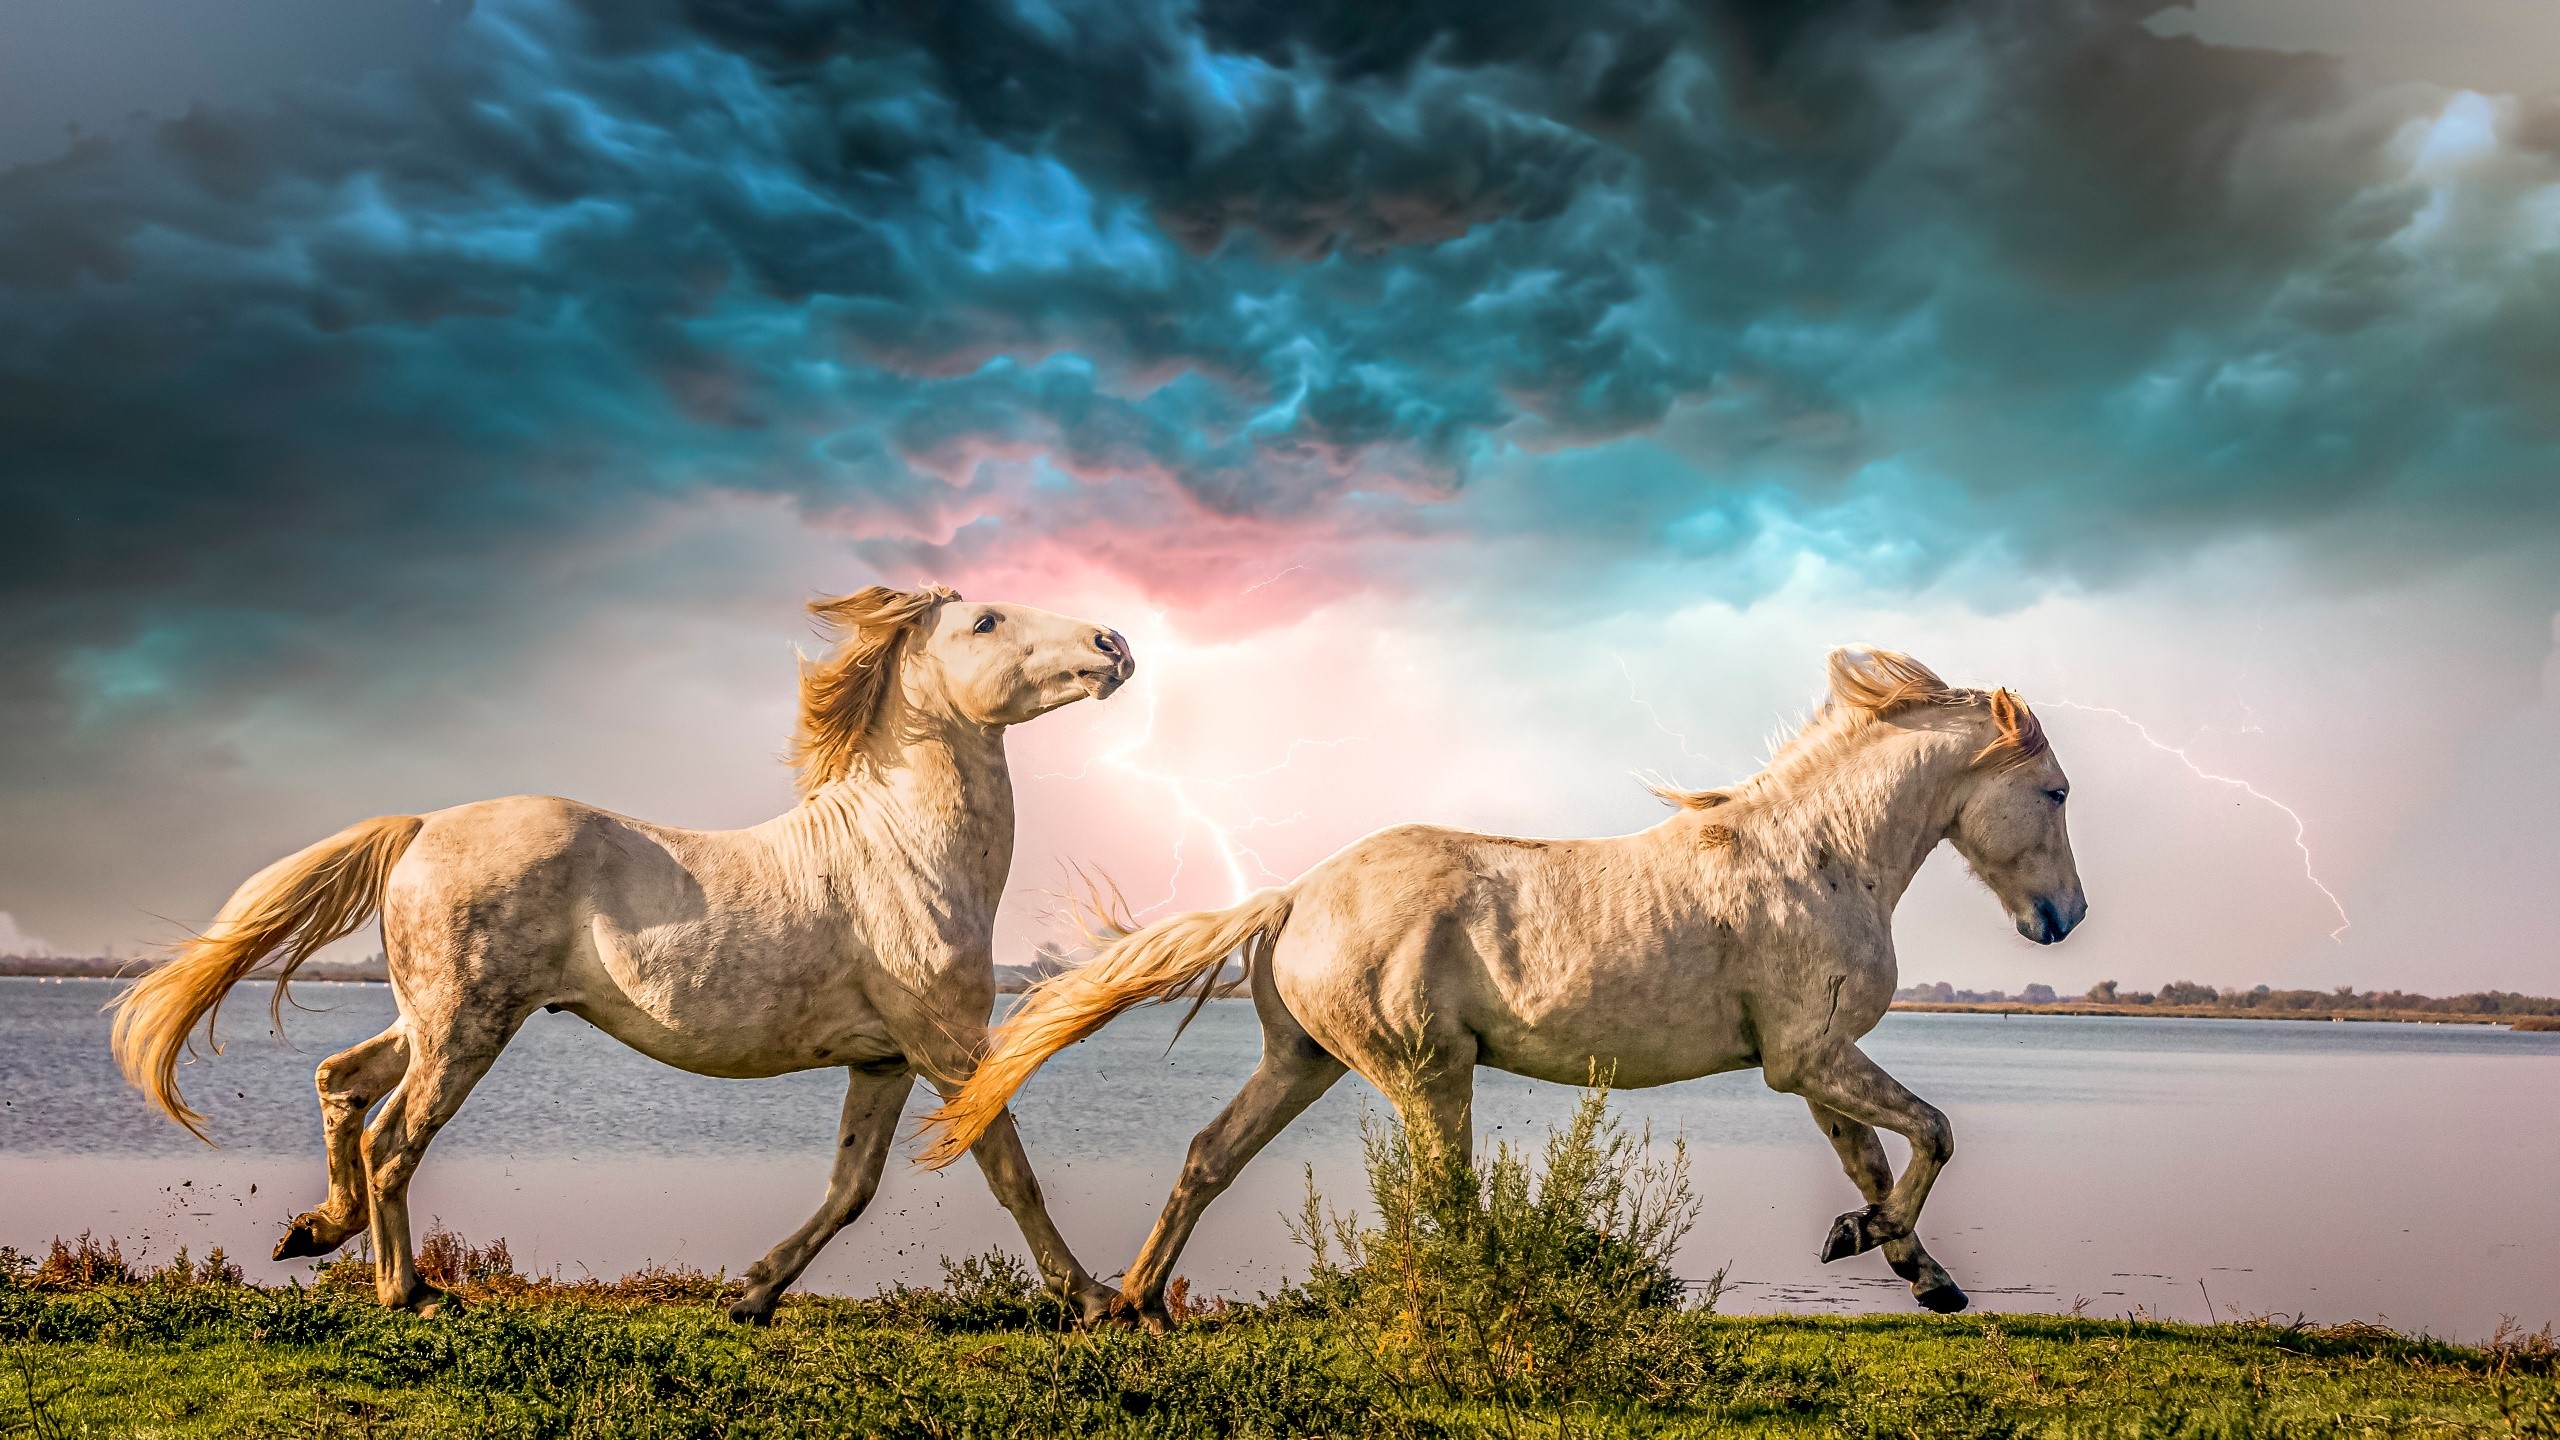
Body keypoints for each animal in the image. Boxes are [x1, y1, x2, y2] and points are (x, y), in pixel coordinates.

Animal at [113, 585, 1135, 1322]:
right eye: (987, 620)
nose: (1114, 646)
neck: (902, 851)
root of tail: (421, 828)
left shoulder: (885, 1059)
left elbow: (850, 1188)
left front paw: (751, 1294)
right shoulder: (948, 1047)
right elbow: (1010, 1171)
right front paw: (1099, 1302)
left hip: (428, 1018)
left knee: (341, 1082)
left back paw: (316, 1231)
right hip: (466, 1028)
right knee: (392, 1138)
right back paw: (410, 1292)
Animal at [919, 646, 2087, 1327]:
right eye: (2056, 791)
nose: (2063, 919)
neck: (1820, 857)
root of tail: (1296, 895)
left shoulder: (1808, 1065)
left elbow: (1873, 1161)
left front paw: (1912, 1268)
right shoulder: (1812, 1057)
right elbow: (1933, 1135)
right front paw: (1880, 1249)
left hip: (1302, 1063)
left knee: (1209, 1156)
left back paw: (1133, 1306)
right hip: (1428, 1072)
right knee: (1446, 1193)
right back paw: (1500, 1292)